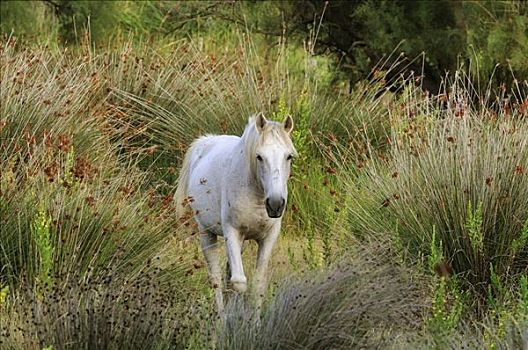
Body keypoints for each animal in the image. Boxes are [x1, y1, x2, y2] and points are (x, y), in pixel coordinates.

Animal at [174, 113, 294, 312]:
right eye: (259, 157)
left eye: (289, 156)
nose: (275, 204)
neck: (256, 194)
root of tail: (205, 142)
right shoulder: (232, 232)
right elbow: (238, 283)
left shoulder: (269, 237)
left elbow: (257, 285)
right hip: (207, 233)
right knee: (216, 279)